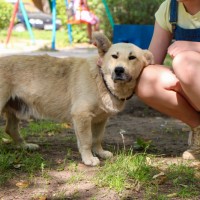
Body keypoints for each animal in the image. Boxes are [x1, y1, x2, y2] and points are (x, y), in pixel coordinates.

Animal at [0, 32, 153, 166]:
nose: (119, 70)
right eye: (114, 56)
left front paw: (100, 152)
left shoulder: (101, 119)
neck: (101, 80)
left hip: (14, 109)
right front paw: (88, 159)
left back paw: (25, 146)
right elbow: (87, 141)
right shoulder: (81, 116)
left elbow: (97, 138)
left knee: (10, 129)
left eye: (132, 57)